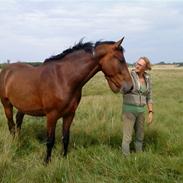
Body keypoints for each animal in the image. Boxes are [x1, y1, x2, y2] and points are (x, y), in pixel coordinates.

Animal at [0, 37, 132, 163]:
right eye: (121, 60)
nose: (130, 86)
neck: (63, 79)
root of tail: (6, 70)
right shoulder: (51, 115)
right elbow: (50, 140)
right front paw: (46, 161)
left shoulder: (69, 114)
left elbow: (66, 137)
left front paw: (64, 157)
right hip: (7, 105)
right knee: (11, 126)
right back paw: (14, 144)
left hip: (23, 106)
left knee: (18, 122)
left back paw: (19, 141)